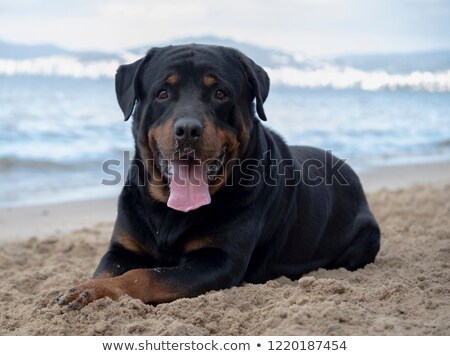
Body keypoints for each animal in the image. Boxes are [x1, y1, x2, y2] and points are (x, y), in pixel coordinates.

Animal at [56, 43, 380, 308]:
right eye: (163, 93)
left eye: (220, 93)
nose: (188, 129)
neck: (169, 211)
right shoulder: (123, 247)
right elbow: (107, 270)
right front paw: (87, 287)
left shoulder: (218, 261)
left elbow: (144, 276)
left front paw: (99, 291)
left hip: (367, 238)